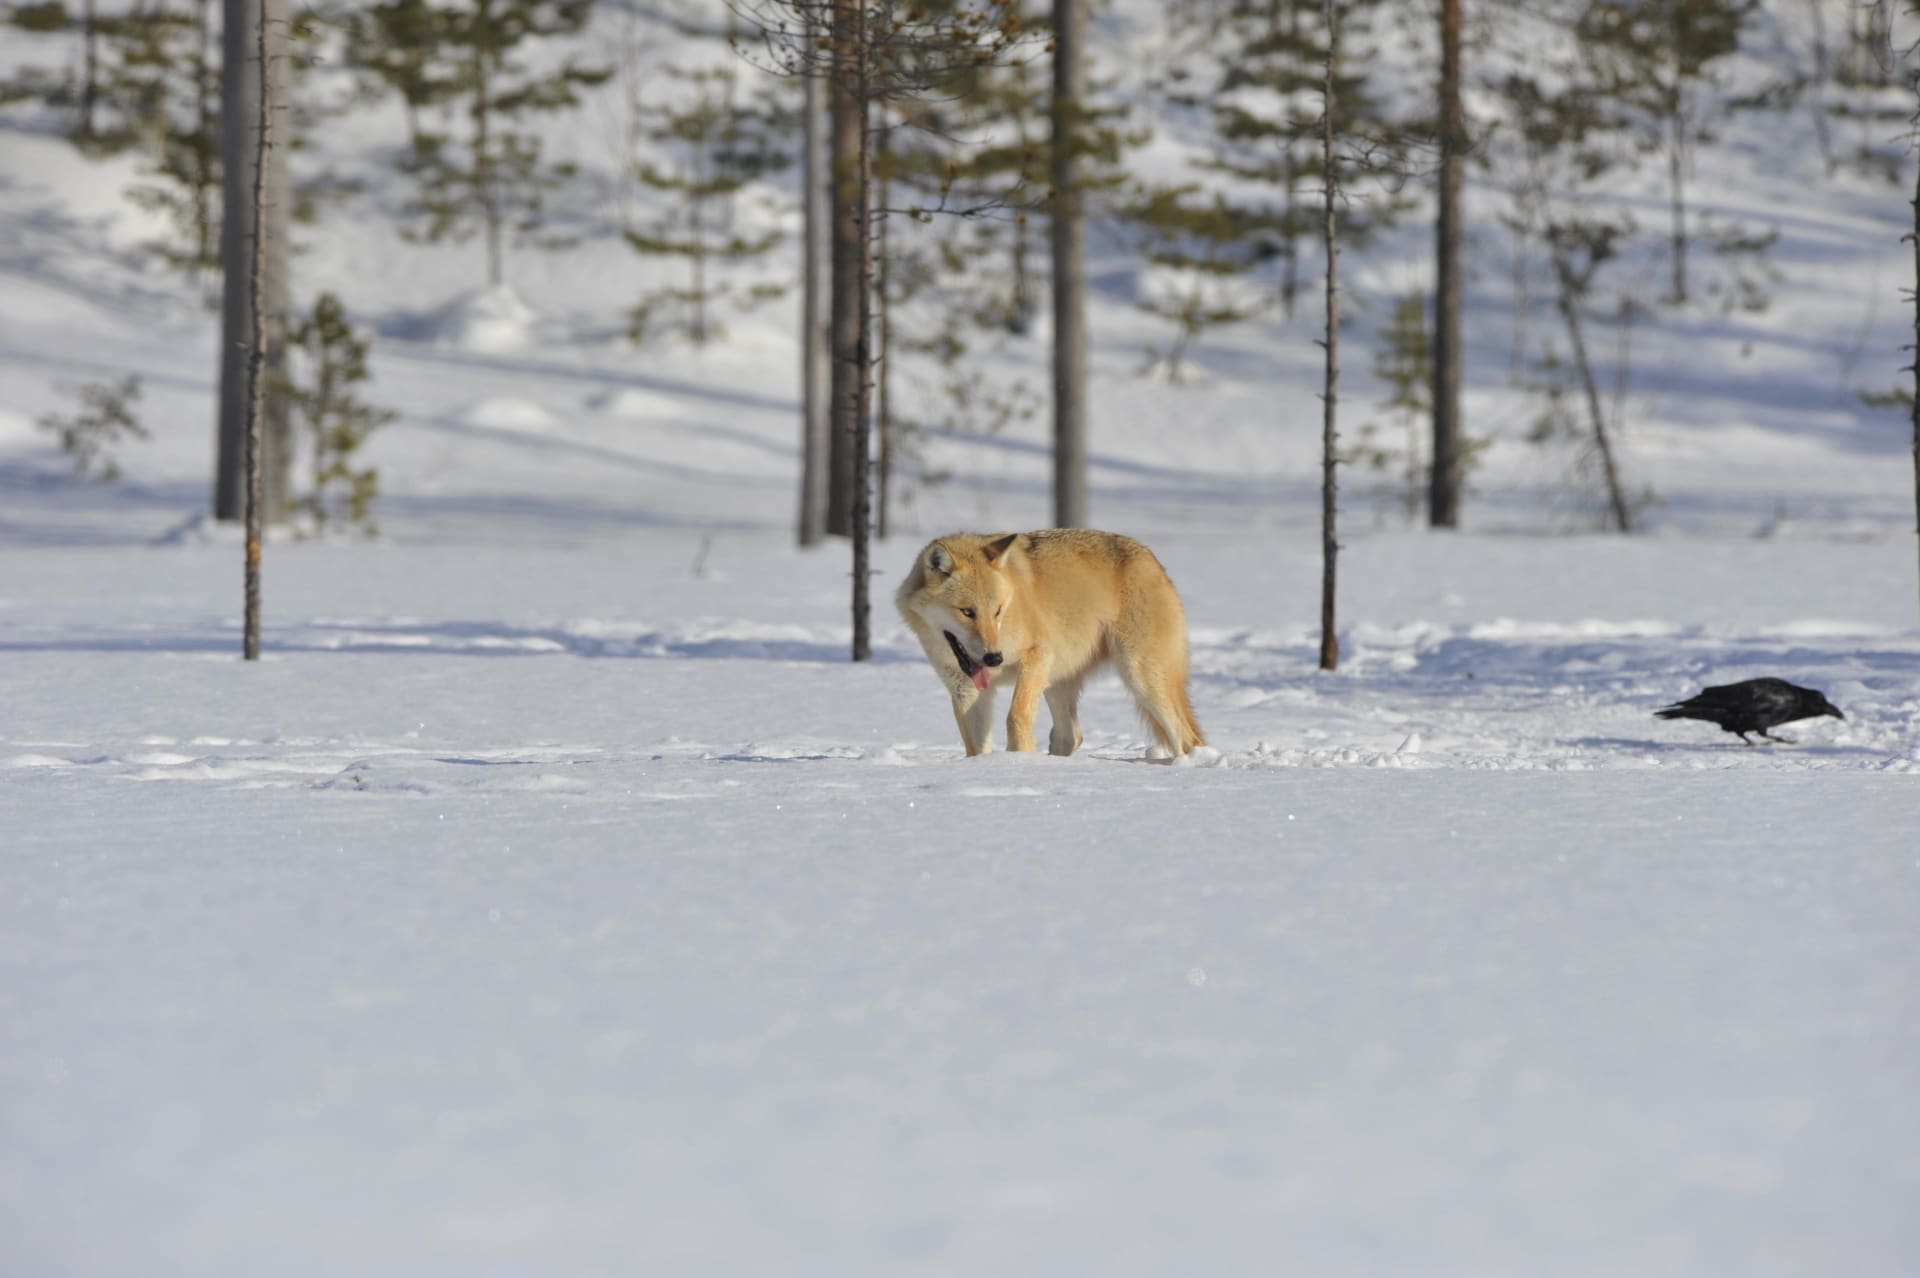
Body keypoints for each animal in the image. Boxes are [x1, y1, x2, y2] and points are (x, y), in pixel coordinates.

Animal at [894, 525, 1198, 756]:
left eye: (997, 611)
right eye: (967, 612)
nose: (995, 658)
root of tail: (1151, 559)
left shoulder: (1037, 655)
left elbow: (1016, 717)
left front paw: (1020, 757)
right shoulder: (966, 690)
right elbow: (976, 746)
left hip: (1140, 677)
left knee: (1187, 738)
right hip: (1057, 684)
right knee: (1071, 736)